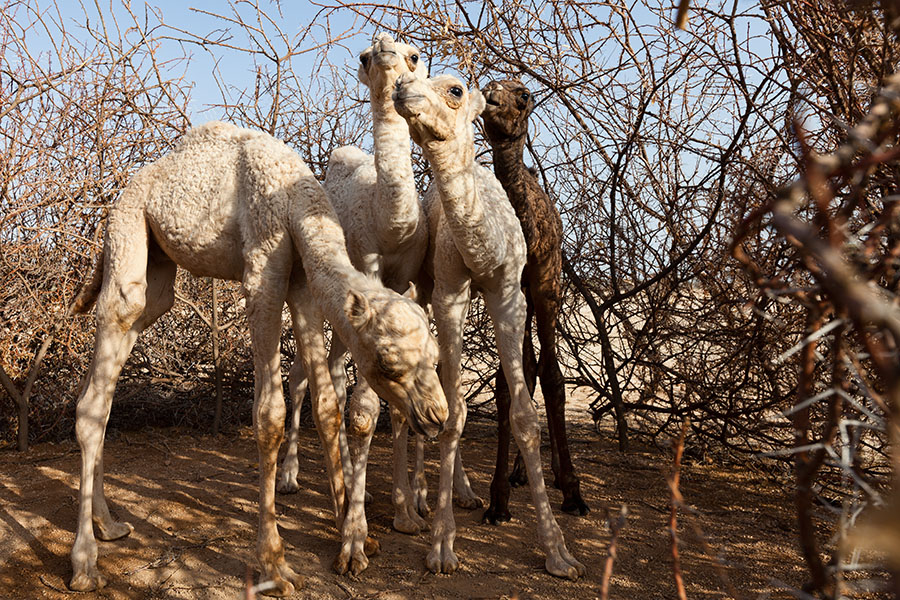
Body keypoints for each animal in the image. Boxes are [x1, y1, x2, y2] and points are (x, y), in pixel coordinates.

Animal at [67, 121, 447, 597]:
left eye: (434, 357)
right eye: (389, 364)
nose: (436, 415)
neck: (295, 199)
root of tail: (120, 196)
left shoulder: (302, 282)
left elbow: (327, 406)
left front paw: (356, 542)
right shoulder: (263, 272)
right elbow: (269, 416)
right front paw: (276, 566)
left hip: (158, 270)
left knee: (106, 381)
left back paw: (109, 524)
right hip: (128, 230)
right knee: (106, 355)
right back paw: (85, 565)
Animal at [393, 72, 585, 580]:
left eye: (455, 90)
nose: (401, 88)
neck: (484, 247)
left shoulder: (510, 296)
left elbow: (523, 412)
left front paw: (559, 553)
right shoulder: (450, 294)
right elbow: (455, 412)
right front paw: (442, 547)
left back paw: (469, 493)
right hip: (422, 288)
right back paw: (418, 503)